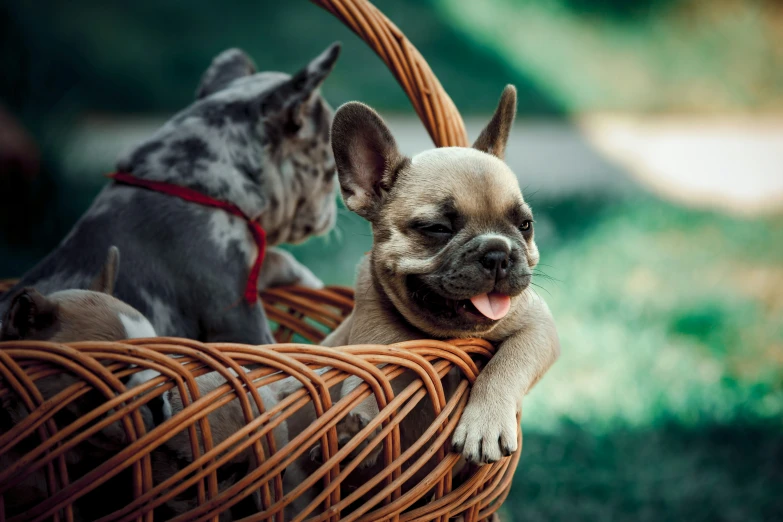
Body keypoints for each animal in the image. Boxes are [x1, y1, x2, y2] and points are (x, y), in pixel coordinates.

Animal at [0, 42, 344, 344]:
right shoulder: (241, 323)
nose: (332, 211)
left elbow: (276, 257)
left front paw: (311, 280)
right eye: (330, 172)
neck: (186, 183)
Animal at [322, 86, 560, 480]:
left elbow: (507, 362)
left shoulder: (538, 327)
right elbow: (366, 383)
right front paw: (355, 430)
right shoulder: (372, 348)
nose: (497, 251)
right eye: (437, 229)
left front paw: (485, 424)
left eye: (525, 225)